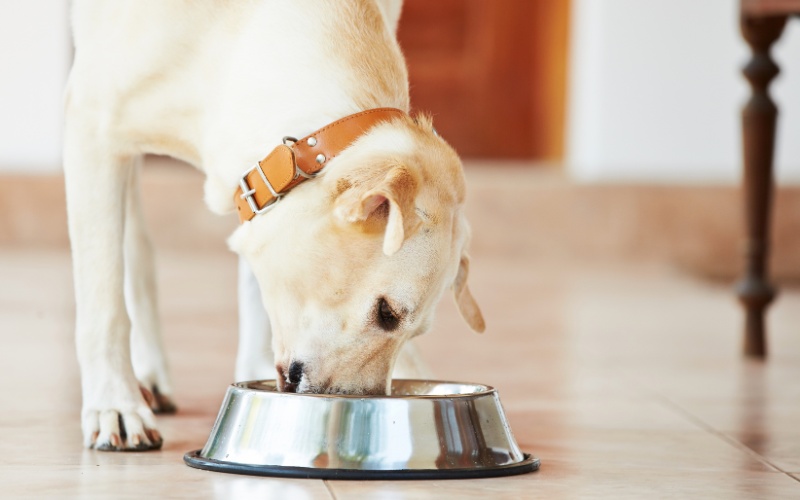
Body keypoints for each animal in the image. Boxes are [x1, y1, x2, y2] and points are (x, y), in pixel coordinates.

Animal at [64, 0, 482, 454]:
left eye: (416, 330)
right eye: (386, 312)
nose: (366, 410)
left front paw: (253, 371)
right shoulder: (91, 127)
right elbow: (103, 304)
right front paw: (115, 404)